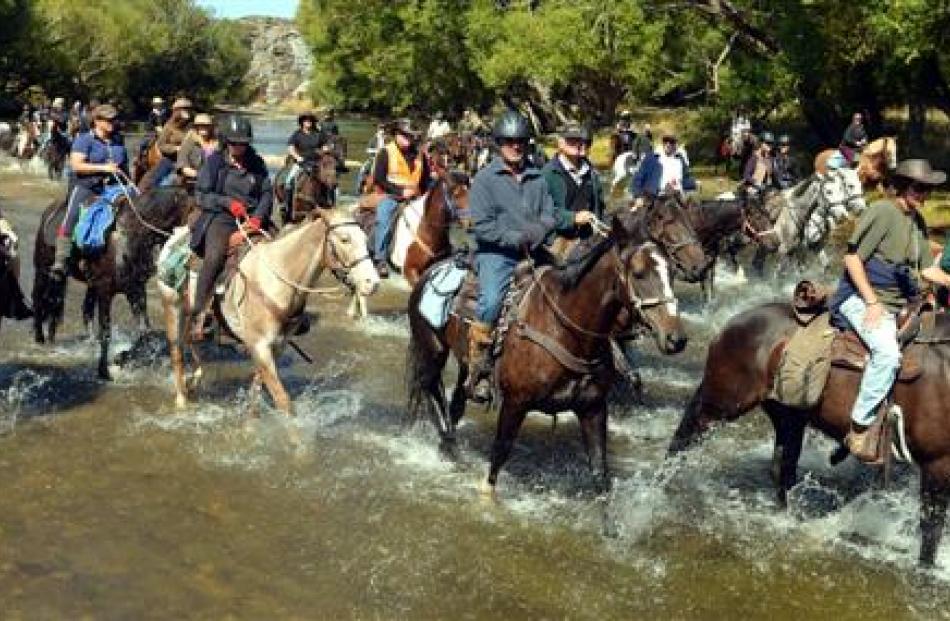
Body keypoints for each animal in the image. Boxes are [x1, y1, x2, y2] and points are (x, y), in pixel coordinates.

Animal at [32, 185, 196, 378]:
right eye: (194, 212)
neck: (130, 235)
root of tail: (49, 211)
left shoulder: (136, 290)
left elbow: (145, 331)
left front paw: (121, 358)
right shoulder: (106, 290)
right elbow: (106, 331)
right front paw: (104, 370)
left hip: (84, 284)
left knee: (75, 309)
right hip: (43, 272)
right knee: (39, 300)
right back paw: (40, 339)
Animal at [158, 206, 378, 414]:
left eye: (365, 238)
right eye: (344, 239)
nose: (372, 283)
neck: (276, 279)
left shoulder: (277, 346)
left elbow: (257, 389)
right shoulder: (259, 346)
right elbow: (283, 401)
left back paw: (193, 380)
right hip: (172, 308)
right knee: (177, 353)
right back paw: (181, 401)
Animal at [406, 211, 696, 496]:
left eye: (671, 272)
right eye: (638, 273)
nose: (676, 338)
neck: (565, 329)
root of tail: (431, 271)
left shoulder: (593, 409)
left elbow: (600, 474)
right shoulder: (515, 404)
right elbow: (498, 457)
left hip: (467, 366)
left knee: (458, 399)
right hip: (431, 352)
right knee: (434, 395)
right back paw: (448, 445)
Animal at [664, 302, 950, 568]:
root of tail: (730, 324)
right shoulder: (937, 463)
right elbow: (931, 527)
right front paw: (925, 569)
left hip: (788, 417)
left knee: (783, 470)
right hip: (719, 407)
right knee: (681, 442)